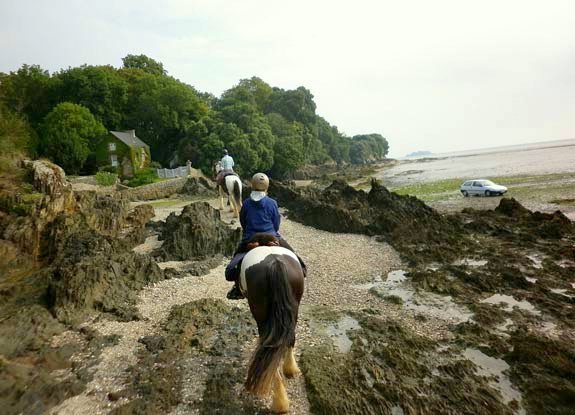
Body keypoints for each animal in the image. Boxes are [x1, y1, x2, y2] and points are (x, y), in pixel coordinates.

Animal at [240, 247, 306, 412]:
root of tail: (275, 262)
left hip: (261, 315)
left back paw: (279, 403)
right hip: (293, 308)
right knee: (289, 339)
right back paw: (290, 369)